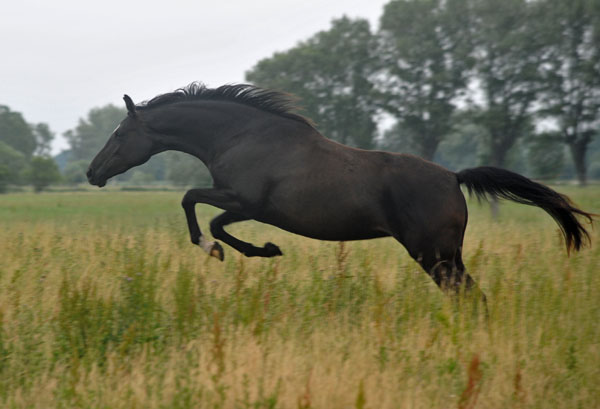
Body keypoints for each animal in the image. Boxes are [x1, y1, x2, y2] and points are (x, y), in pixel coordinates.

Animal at [85, 83, 596, 300]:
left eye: (118, 134)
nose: (92, 172)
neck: (242, 137)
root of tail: (454, 177)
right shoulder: (243, 204)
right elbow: (201, 209)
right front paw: (253, 250)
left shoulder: (247, 202)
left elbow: (198, 207)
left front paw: (241, 250)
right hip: (447, 255)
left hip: (434, 255)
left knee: (468, 297)